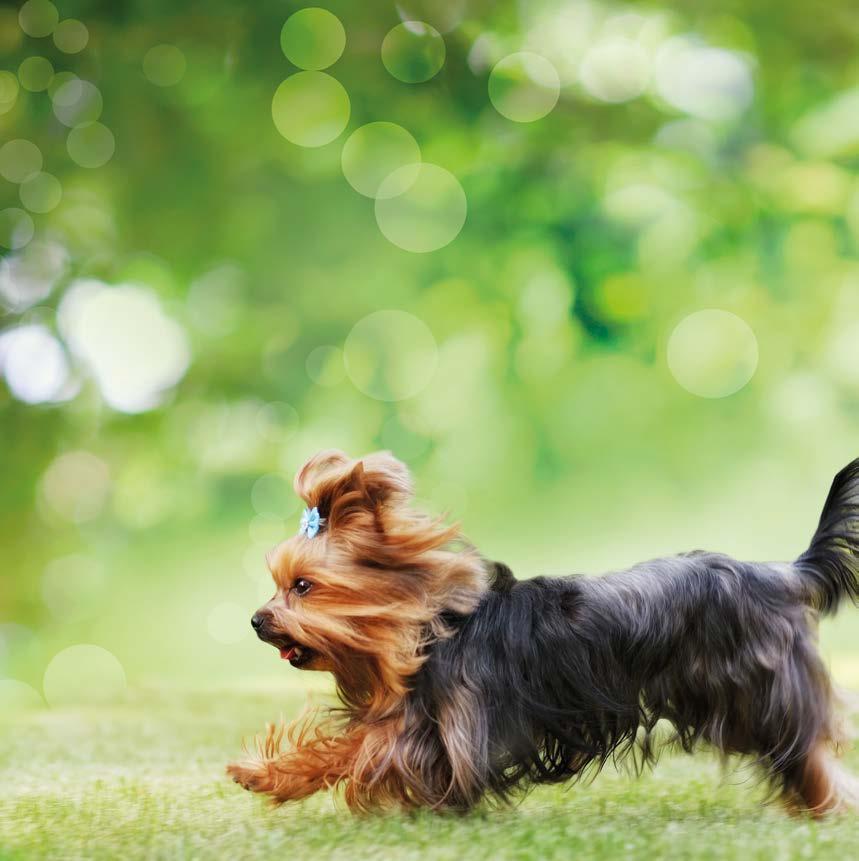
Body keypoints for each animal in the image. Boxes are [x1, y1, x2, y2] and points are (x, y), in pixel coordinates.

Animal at [228, 450, 859, 812]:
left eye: (303, 586)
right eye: (279, 585)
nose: (256, 620)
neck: (430, 631)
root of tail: (783, 574)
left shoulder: (454, 734)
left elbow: (368, 750)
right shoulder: (425, 718)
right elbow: (346, 746)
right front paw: (267, 775)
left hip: (761, 688)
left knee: (805, 746)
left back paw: (827, 805)